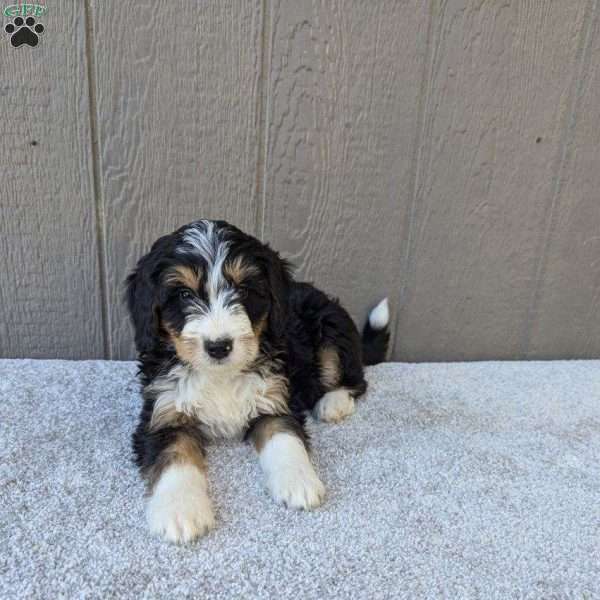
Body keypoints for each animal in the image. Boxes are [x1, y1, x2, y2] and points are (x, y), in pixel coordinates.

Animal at [126, 220, 390, 544]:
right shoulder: (164, 413)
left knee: (351, 376)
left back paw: (334, 402)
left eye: (243, 290)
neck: (220, 375)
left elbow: (284, 437)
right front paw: (181, 510)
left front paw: (298, 481)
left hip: (331, 327)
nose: (218, 346)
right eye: (185, 295)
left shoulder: (275, 398)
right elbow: (174, 455)